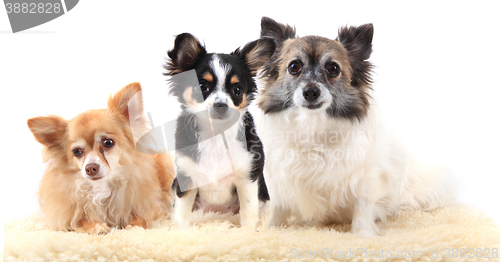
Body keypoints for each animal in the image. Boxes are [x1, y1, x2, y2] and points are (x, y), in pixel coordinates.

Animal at [28, 82, 176, 233]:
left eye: (108, 143)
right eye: (76, 151)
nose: (90, 168)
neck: (103, 186)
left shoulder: (154, 206)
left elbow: (142, 216)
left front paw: (133, 226)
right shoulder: (65, 217)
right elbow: (79, 221)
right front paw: (95, 227)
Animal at [164, 32, 274, 228]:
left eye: (237, 90)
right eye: (202, 87)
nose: (221, 105)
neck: (215, 134)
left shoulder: (247, 176)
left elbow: (248, 212)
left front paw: (248, 231)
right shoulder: (185, 177)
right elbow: (181, 213)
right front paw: (181, 232)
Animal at [250, 17, 454, 236]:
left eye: (333, 69)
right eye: (294, 67)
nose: (311, 91)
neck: (313, 125)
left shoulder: (367, 178)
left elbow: (362, 206)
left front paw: (361, 234)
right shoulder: (280, 179)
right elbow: (280, 206)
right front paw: (273, 228)